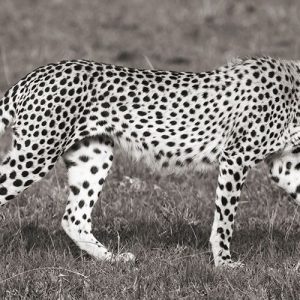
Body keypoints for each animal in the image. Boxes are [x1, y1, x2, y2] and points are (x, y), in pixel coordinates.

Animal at [0, 56, 300, 268]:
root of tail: (38, 72)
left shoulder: (283, 166)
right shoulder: (235, 157)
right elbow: (225, 219)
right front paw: (224, 263)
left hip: (93, 156)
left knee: (75, 217)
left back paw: (113, 259)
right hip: (35, 155)